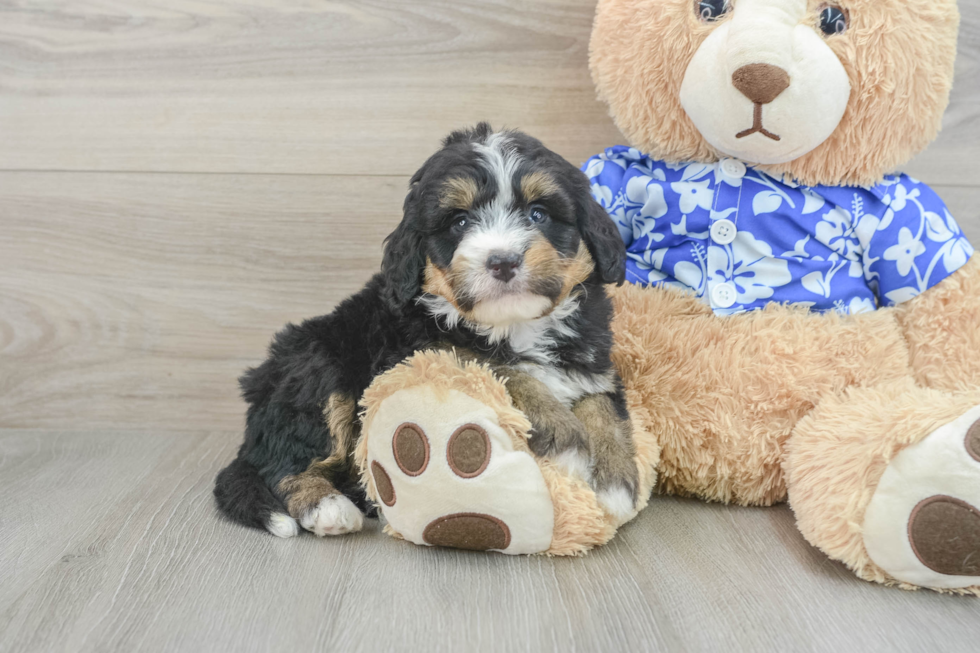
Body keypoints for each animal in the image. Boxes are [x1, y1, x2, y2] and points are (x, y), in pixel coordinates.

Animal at [214, 123, 640, 540]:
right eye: (460, 222)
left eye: (538, 214)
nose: (503, 261)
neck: (512, 325)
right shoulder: (424, 352)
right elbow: (502, 370)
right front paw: (567, 441)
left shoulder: (593, 364)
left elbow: (605, 409)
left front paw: (616, 484)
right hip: (318, 368)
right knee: (283, 464)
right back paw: (326, 507)